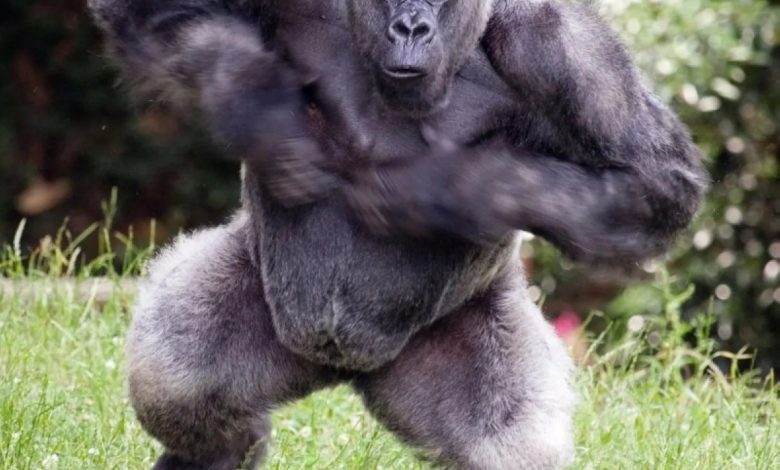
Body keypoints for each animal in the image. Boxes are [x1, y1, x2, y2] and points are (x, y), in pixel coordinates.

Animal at [88, 0, 707, 468]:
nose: (411, 26)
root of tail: (341, 370)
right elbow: (154, 7)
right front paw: (266, 111)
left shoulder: (562, 48)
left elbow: (652, 182)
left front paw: (438, 188)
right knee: (178, 380)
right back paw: (219, 449)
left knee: (509, 446)